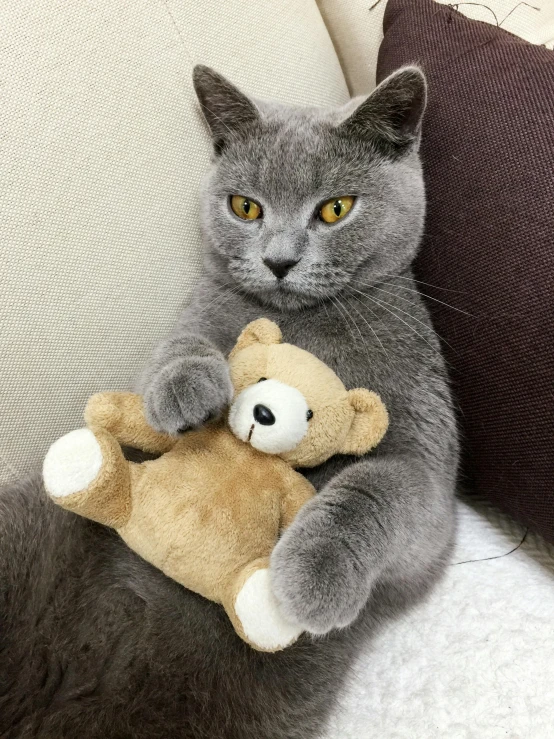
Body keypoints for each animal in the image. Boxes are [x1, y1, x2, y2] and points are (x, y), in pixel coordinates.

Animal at [1, 66, 458, 736]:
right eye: (246, 207)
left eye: (335, 209)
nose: (278, 260)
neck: (297, 325)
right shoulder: (189, 324)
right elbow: (174, 349)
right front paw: (187, 385)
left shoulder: (430, 481)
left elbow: (380, 485)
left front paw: (313, 573)